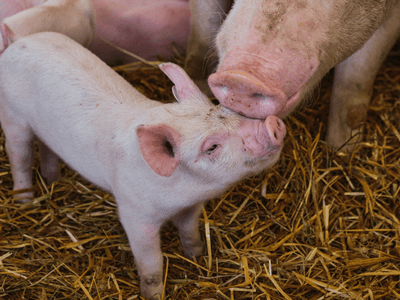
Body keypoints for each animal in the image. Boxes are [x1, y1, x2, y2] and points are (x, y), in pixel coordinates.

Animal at [0, 31, 288, 298]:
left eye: (225, 110)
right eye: (212, 147)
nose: (273, 124)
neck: (181, 194)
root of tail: (18, 40)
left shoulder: (191, 207)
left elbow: (190, 230)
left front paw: (196, 256)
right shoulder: (134, 214)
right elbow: (152, 263)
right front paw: (154, 295)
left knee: (46, 148)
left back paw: (54, 180)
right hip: (13, 117)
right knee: (20, 157)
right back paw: (25, 201)